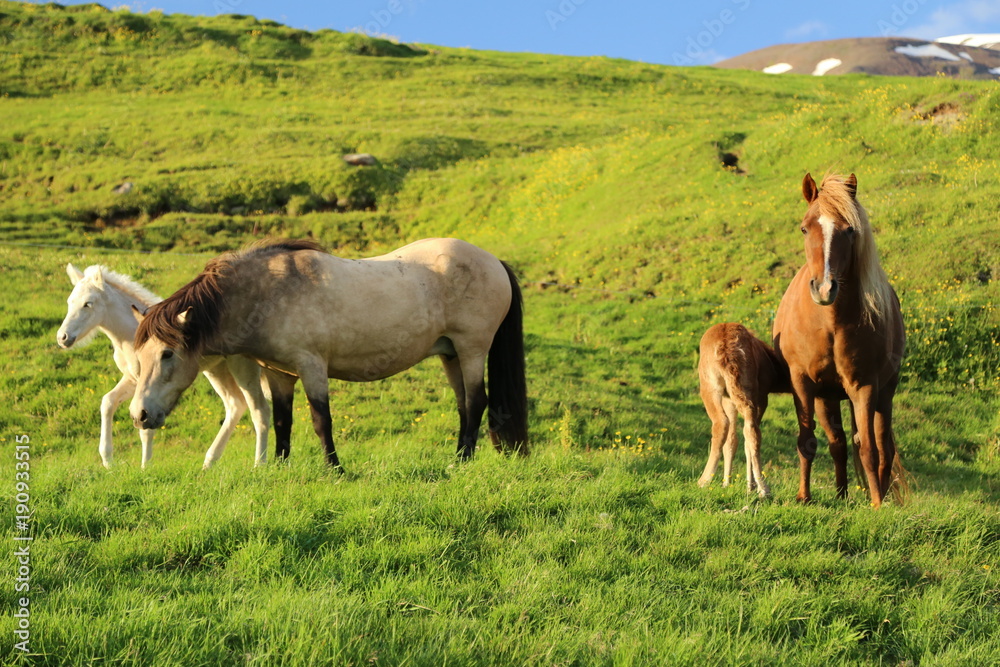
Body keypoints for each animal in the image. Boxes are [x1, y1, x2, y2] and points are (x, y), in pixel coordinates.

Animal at [56, 264, 270, 469]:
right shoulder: (132, 378)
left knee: (254, 408)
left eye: (88, 304)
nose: (62, 337)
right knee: (236, 404)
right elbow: (108, 402)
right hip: (217, 370)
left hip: (241, 367)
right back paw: (210, 462)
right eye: (69, 302)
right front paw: (108, 460)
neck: (129, 336)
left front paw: (145, 466)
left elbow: (145, 424)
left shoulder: (144, 382)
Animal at [129, 238, 529, 472]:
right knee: (464, 406)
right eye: (139, 358)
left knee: (476, 402)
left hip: (472, 350)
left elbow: (322, 421)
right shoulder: (280, 373)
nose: (140, 415)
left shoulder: (312, 367)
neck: (267, 292)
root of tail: (494, 260)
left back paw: (461, 462)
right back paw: (460, 455)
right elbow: (283, 422)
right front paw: (280, 467)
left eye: (167, 354)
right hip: (450, 355)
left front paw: (334, 470)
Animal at [697, 322, 791, 497]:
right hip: (746, 389)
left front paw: (744, 485)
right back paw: (763, 488)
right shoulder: (741, 397)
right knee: (749, 431)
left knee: (723, 423)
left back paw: (704, 480)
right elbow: (733, 440)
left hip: (710, 386)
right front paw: (732, 484)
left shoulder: (755, 396)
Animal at [772, 173, 906, 508]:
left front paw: (877, 504)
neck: (830, 324)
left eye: (849, 230)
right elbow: (807, 441)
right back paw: (841, 495)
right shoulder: (803, 384)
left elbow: (870, 449)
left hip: (885, 394)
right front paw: (803, 497)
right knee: (839, 444)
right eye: (805, 227)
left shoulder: (864, 387)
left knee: (883, 447)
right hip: (827, 397)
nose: (824, 288)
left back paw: (879, 493)